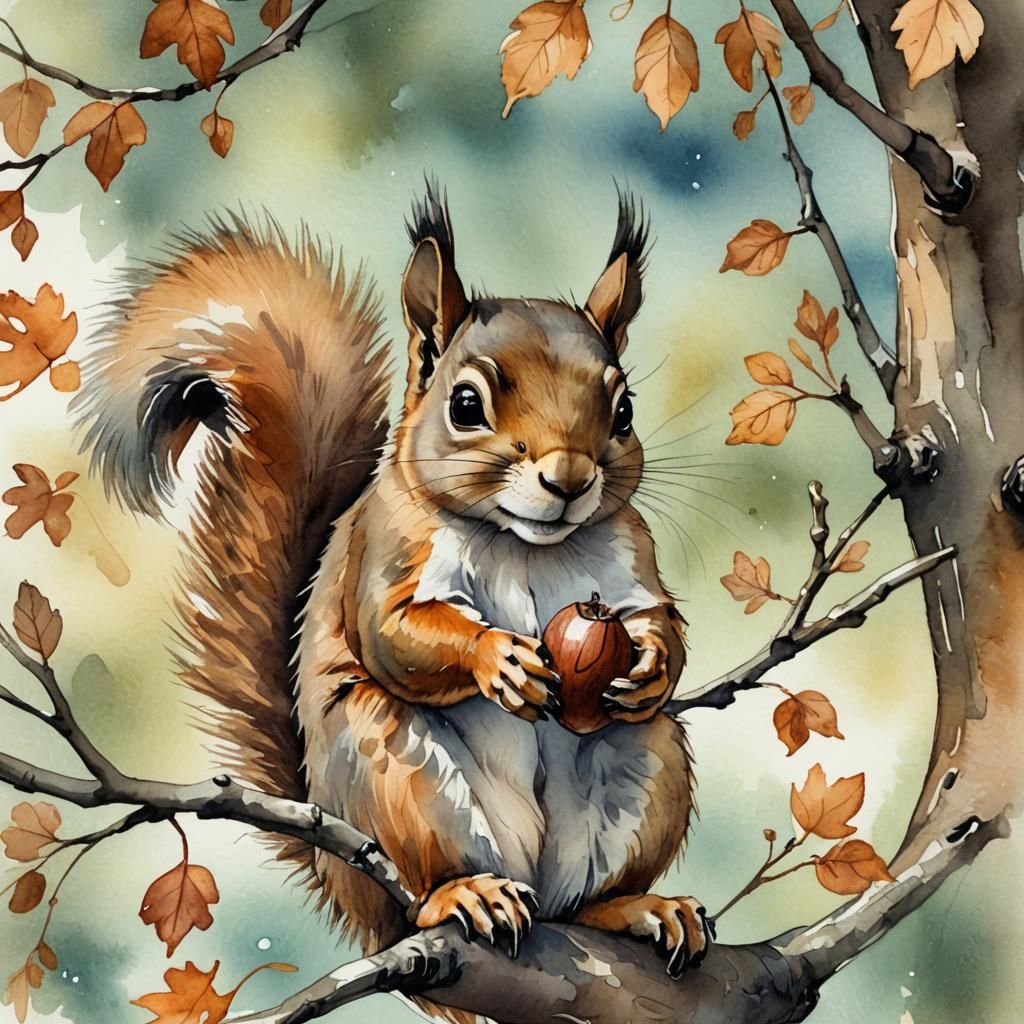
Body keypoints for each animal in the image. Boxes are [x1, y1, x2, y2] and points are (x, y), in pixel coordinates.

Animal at [74, 183, 707, 1019]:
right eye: (466, 405)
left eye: (625, 410)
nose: (569, 479)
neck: (526, 544)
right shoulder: (385, 551)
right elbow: (393, 634)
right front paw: (498, 658)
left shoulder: (631, 559)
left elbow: (660, 618)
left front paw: (653, 665)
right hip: (394, 775)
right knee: (421, 895)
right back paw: (467, 896)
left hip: (647, 765)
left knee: (585, 896)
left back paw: (640, 907)